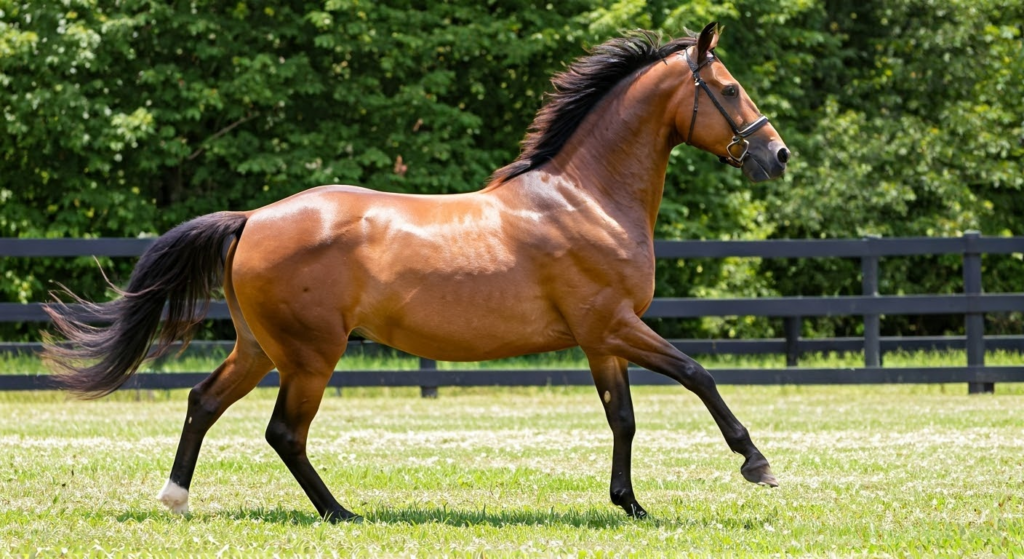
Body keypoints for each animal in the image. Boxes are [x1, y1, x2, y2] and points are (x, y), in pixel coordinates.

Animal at [44, 21, 786, 518]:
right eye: (729, 89)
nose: (776, 156)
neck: (584, 199)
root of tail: (252, 217)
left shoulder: (602, 339)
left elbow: (623, 418)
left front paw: (630, 504)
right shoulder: (614, 324)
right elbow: (697, 373)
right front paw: (757, 463)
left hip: (259, 348)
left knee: (203, 401)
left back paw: (175, 498)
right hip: (310, 355)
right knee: (284, 432)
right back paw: (340, 512)